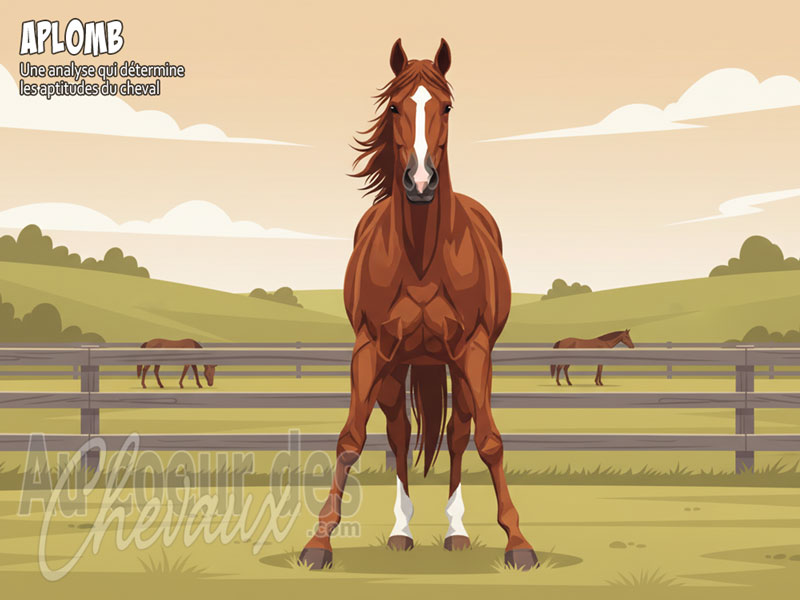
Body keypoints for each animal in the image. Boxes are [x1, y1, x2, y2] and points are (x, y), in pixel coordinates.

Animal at [298, 39, 537, 571]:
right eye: (393, 107)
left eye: (446, 107)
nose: (421, 183)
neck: (423, 257)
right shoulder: (370, 350)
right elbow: (351, 440)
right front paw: (319, 542)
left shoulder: (474, 351)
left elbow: (489, 442)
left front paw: (518, 541)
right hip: (397, 366)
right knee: (400, 432)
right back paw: (401, 532)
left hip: (457, 366)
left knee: (458, 434)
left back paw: (456, 532)